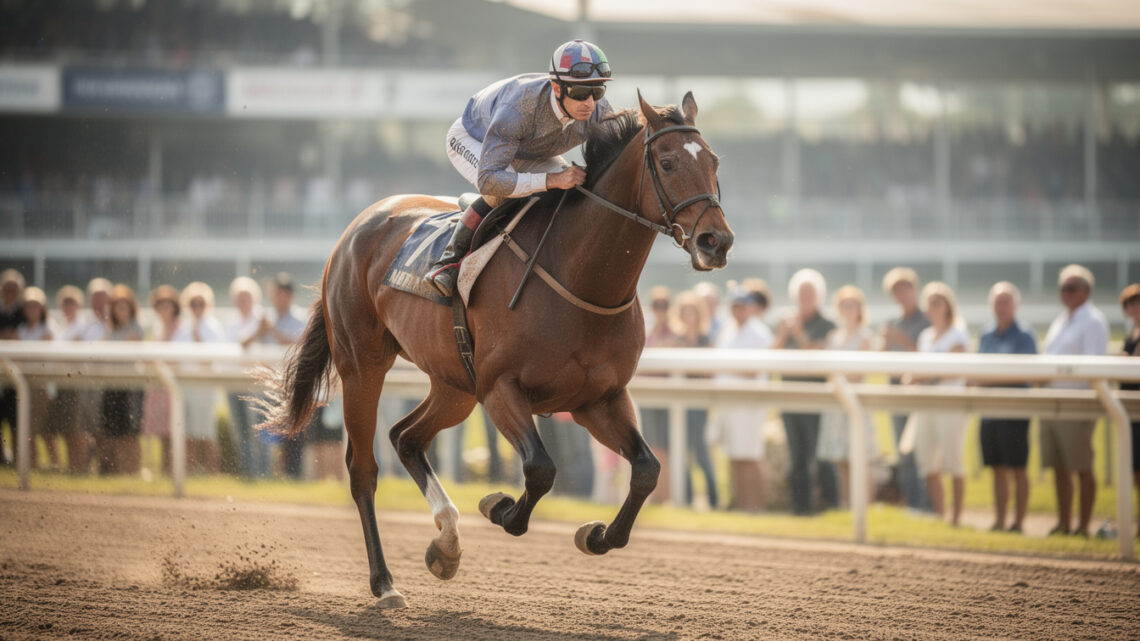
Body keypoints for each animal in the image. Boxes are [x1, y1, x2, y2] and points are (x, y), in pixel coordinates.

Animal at [257, 92, 733, 608]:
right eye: (667, 163)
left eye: (714, 161)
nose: (716, 241)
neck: (580, 277)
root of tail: (356, 228)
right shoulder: (501, 388)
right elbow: (541, 469)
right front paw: (500, 506)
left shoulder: (598, 399)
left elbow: (647, 469)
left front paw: (597, 535)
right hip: (364, 365)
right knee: (363, 468)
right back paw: (385, 583)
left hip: (454, 384)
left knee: (406, 437)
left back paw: (446, 544)